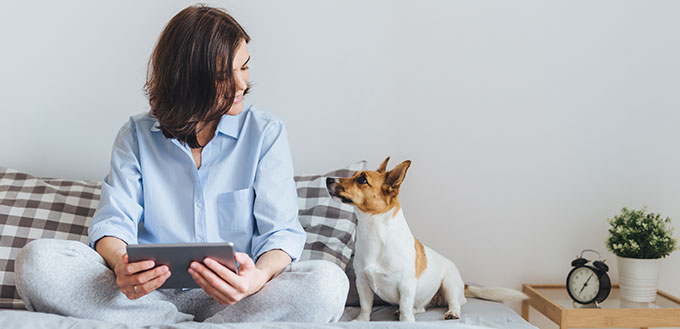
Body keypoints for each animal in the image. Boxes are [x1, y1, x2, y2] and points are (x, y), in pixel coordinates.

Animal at [326, 156, 528, 320]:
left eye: (362, 179)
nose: (328, 179)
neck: (374, 232)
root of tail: (463, 285)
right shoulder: (362, 283)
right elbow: (365, 307)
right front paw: (360, 321)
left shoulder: (406, 285)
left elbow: (405, 309)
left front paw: (406, 321)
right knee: (420, 307)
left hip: (449, 284)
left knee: (454, 303)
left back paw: (452, 312)